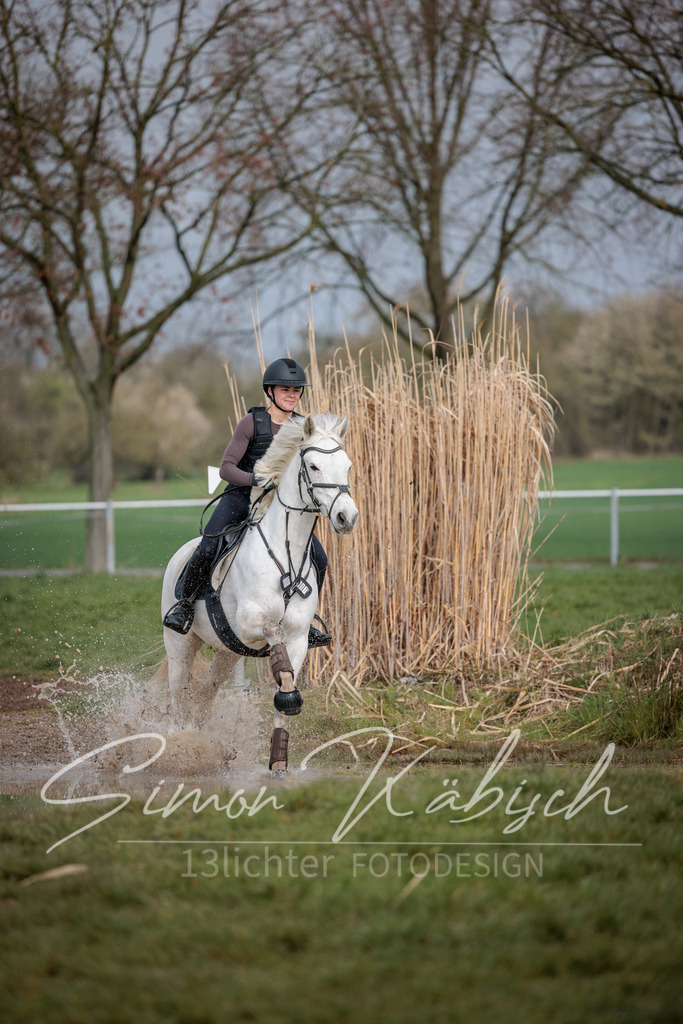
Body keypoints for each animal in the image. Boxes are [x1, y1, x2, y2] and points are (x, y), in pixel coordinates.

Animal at [160, 412, 358, 772]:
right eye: (313, 467)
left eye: (347, 465)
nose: (346, 517)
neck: (286, 551)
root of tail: (182, 551)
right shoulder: (250, 622)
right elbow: (273, 633)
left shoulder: (298, 639)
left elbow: (286, 683)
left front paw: (279, 761)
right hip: (180, 642)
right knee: (178, 694)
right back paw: (177, 747)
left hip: (225, 650)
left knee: (205, 693)